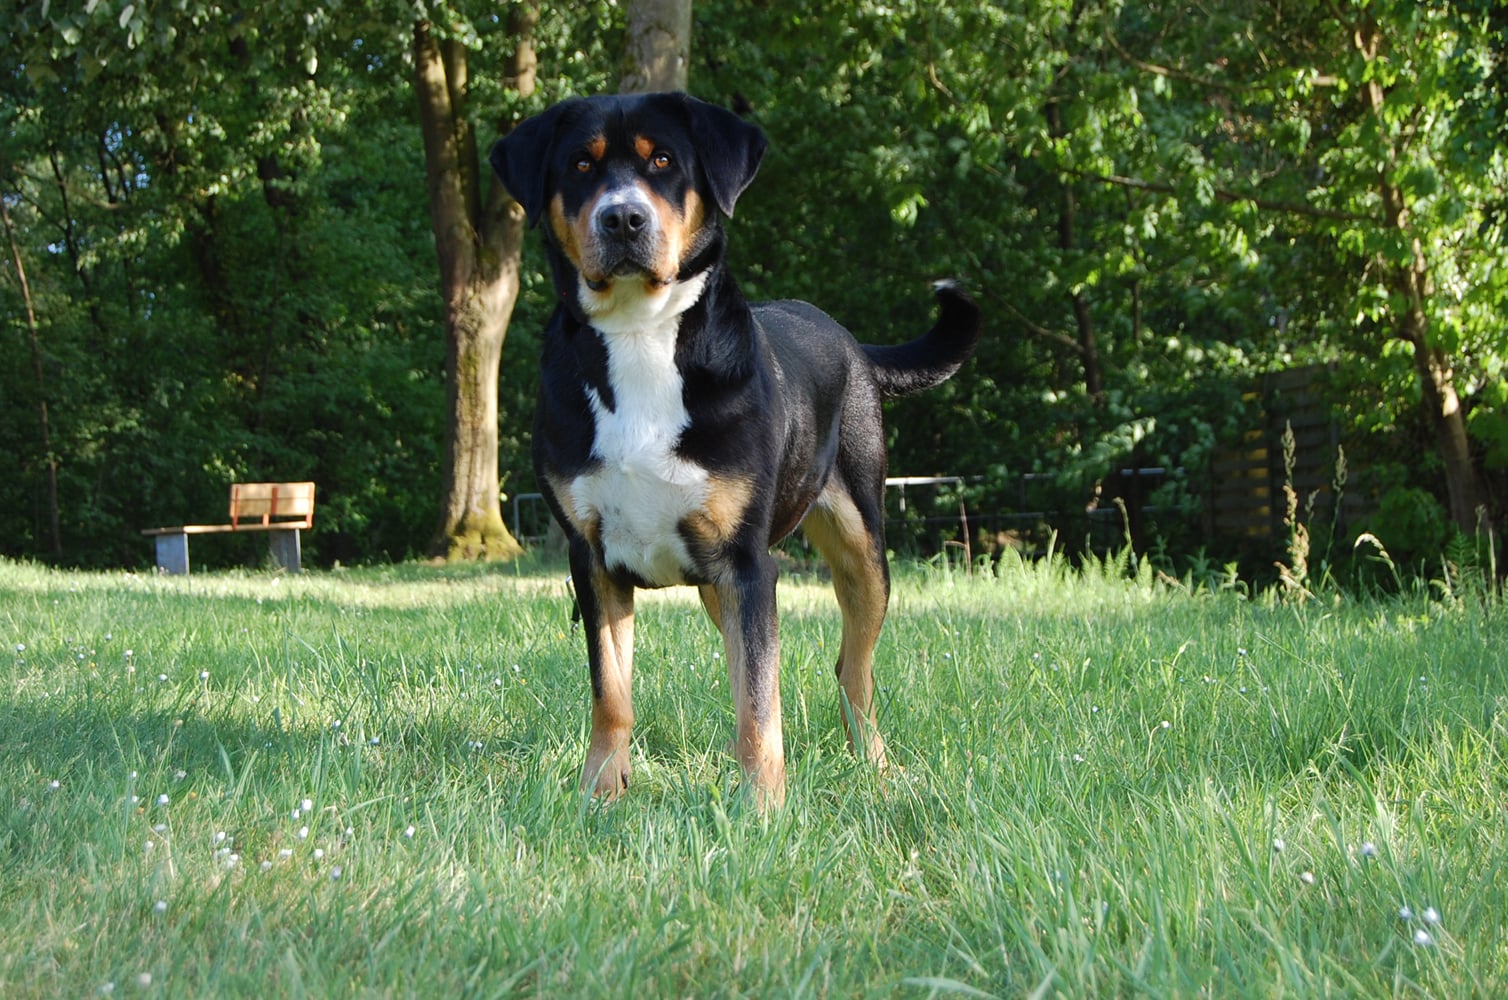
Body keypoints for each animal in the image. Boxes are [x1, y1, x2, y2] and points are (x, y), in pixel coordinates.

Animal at [490, 92, 980, 808]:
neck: (640, 337)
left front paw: (763, 807)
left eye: (663, 160)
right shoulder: (593, 560)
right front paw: (600, 792)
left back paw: (876, 769)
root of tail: (851, 341)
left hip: (861, 548)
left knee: (852, 670)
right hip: (719, 586)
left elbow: (759, 701)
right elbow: (613, 694)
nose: (623, 218)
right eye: (581, 164)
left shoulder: (749, 565)